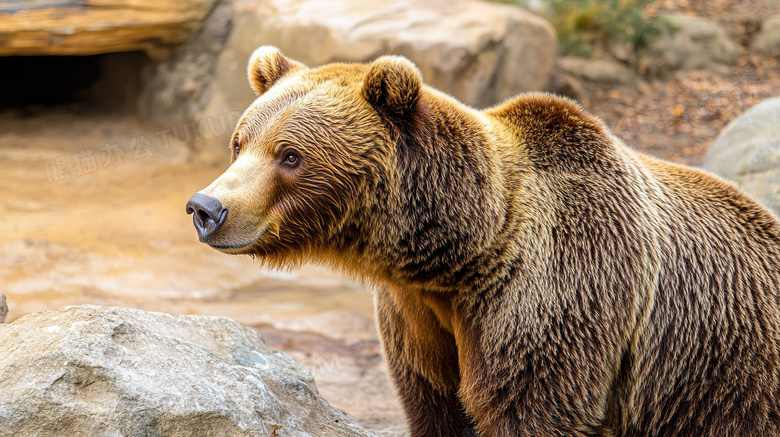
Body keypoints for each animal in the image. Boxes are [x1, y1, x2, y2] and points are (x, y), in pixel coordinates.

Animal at [189, 46, 780, 434]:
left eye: (290, 155)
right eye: (240, 142)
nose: (206, 208)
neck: (457, 256)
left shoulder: (558, 287)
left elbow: (533, 404)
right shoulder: (418, 322)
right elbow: (435, 405)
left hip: (728, 382)